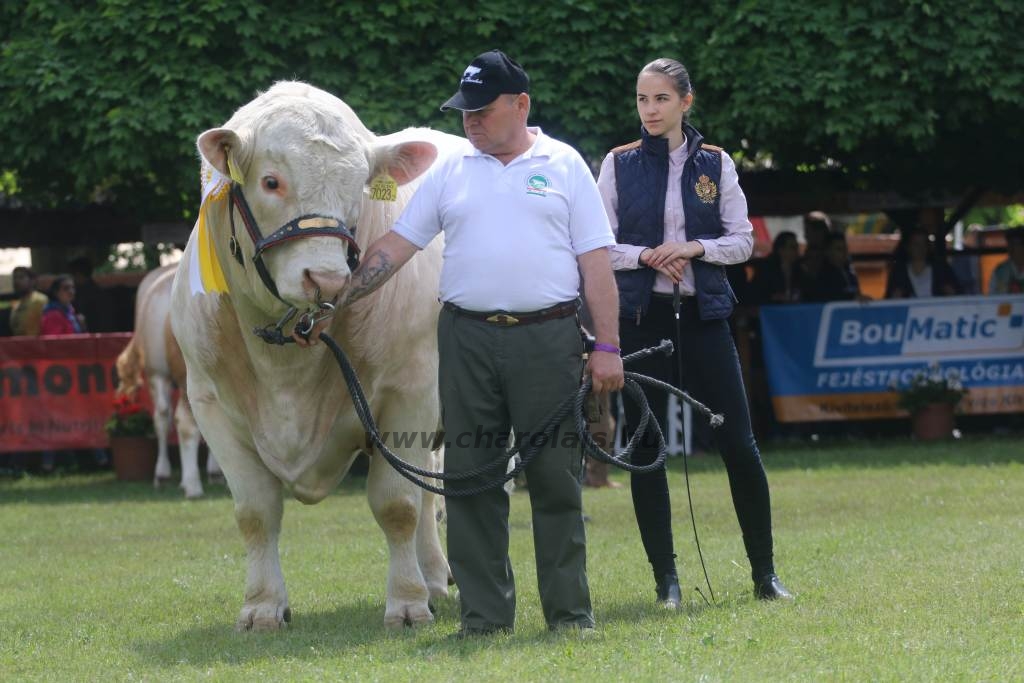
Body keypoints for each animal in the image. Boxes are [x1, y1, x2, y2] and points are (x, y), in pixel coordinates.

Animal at [171, 82, 456, 634]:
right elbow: (255, 512)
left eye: (359, 188)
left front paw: (407, 603)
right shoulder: (210, 404)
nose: (325, 279)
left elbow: (398, 504)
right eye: (271, 181)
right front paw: (262, 607)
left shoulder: (409, 393)